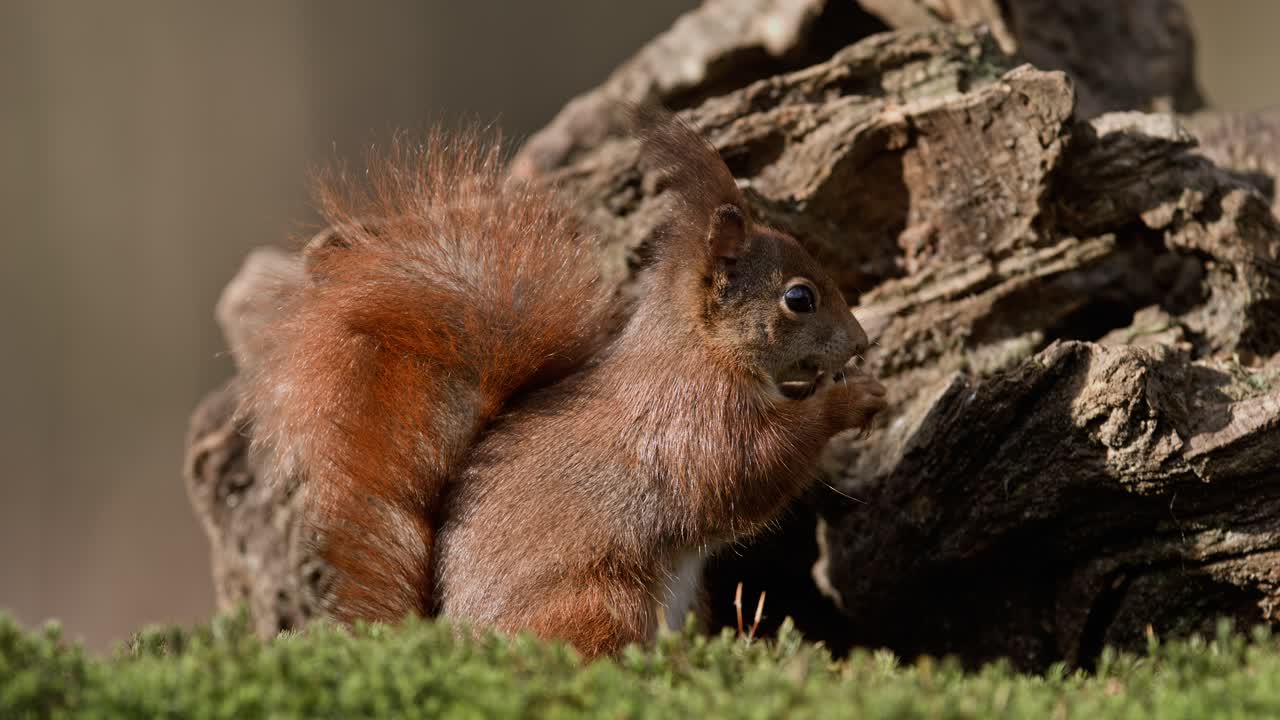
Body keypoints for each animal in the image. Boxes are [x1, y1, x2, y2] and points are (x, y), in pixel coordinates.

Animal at [243, 111, 887, 657]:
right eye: (799, 298)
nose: (860, 343)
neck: (700, 351)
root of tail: (461, 641)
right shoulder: (695, 419)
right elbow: (755, 468)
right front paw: (851, 401)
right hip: (603, 601)